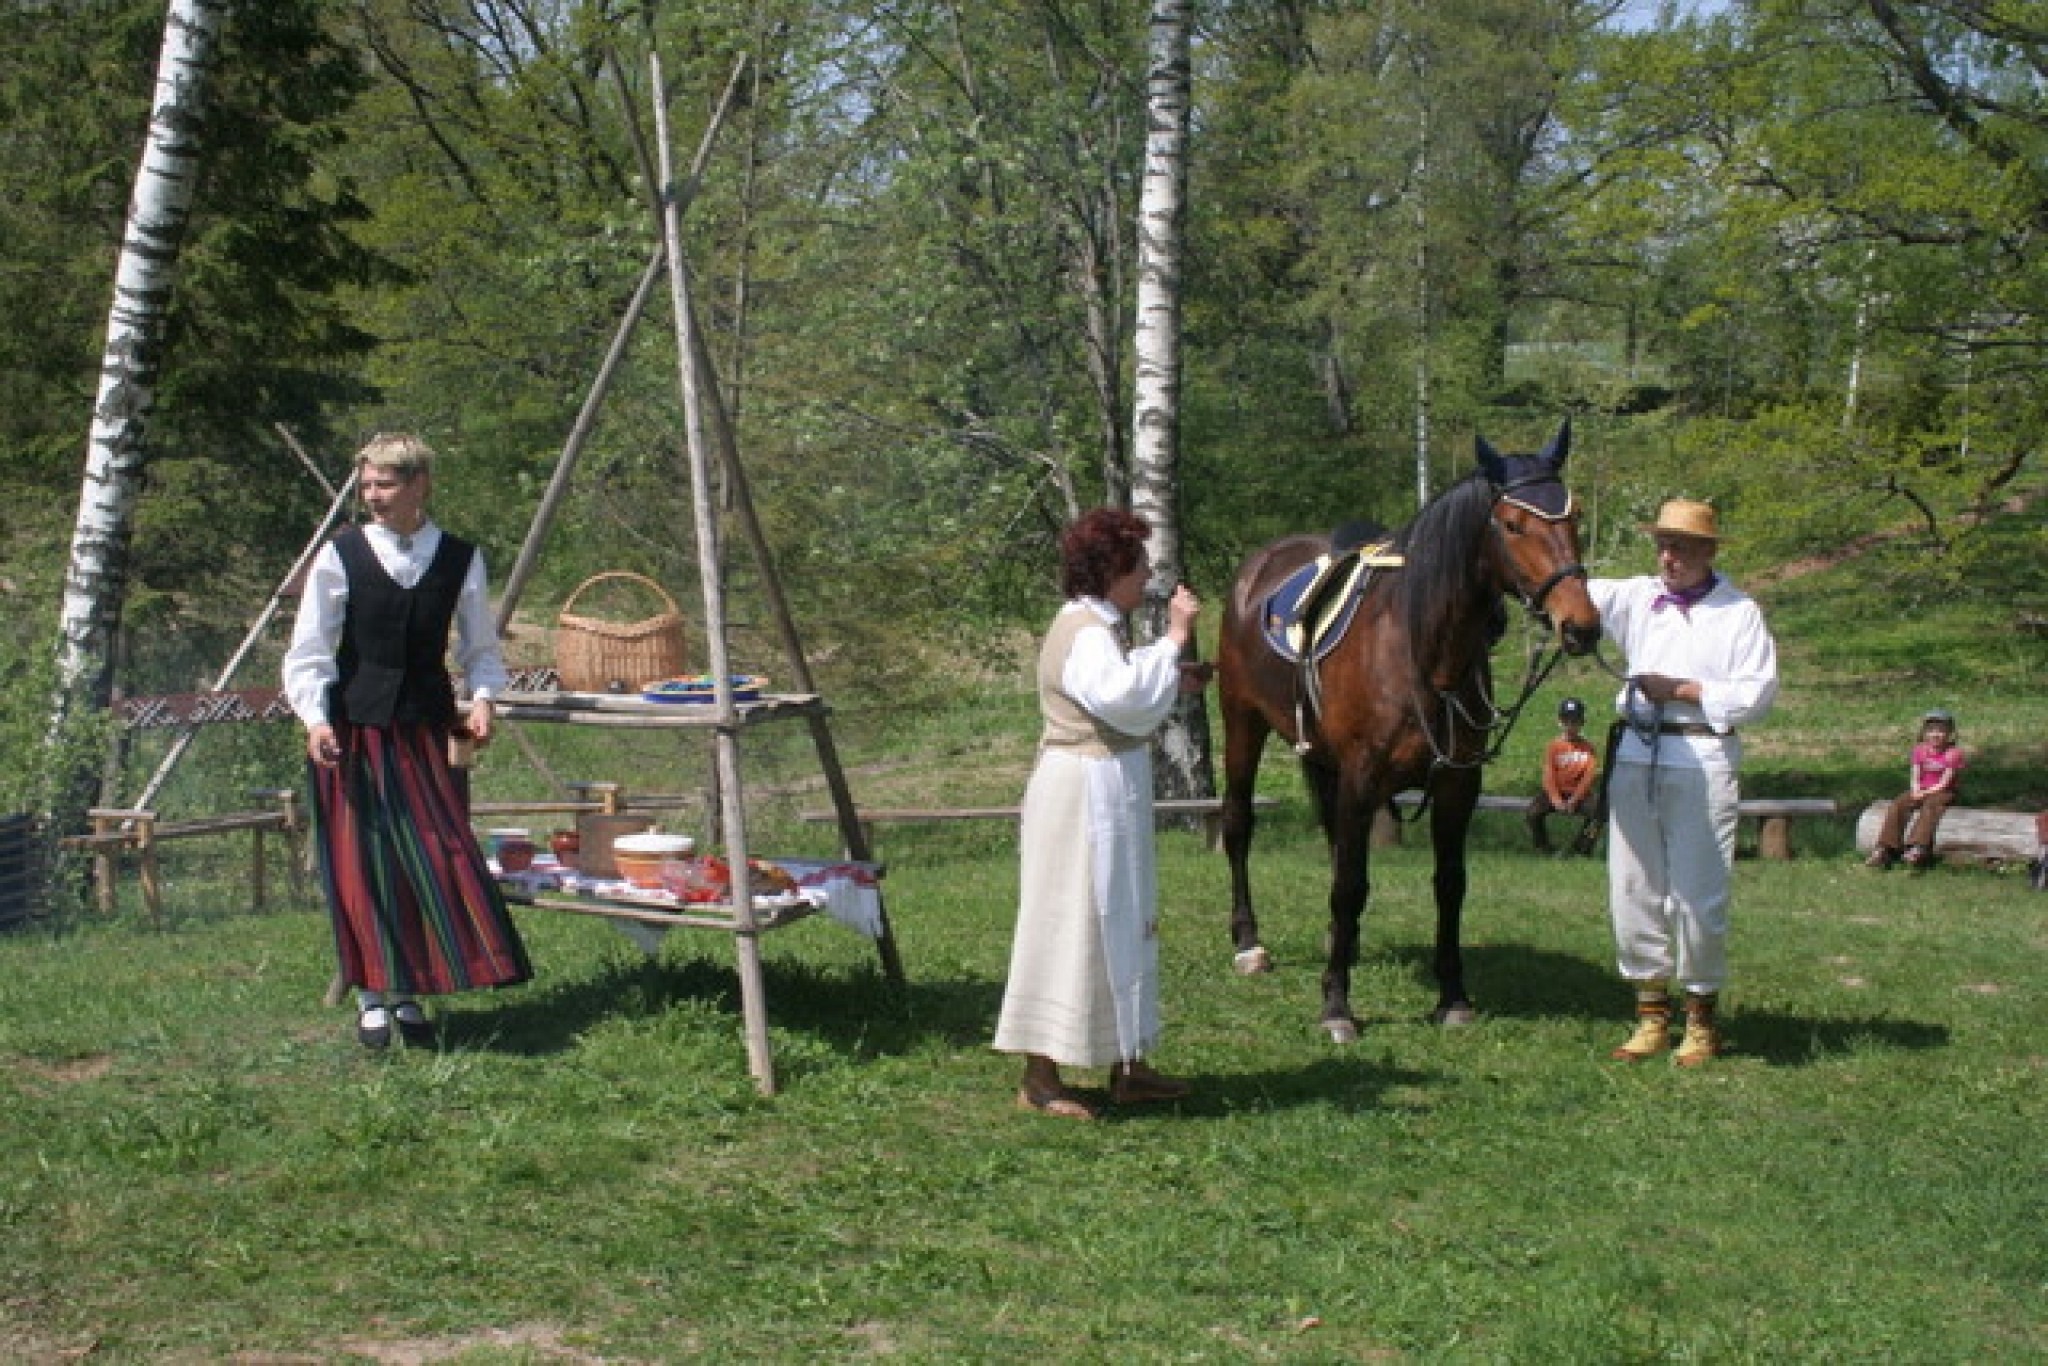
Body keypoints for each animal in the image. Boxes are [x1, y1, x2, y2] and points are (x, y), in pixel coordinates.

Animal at [1212, 421, 1597, 1040]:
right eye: (1513, 524)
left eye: (1575, 515)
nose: (1581, 625)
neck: (1422, 649)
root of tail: (1259, 568)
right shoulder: (1361, 777)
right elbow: (1349, 885)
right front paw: (1336, 1005)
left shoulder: (1456, 786)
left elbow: (1449, 884)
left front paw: (1452, 996)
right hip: (1243, 724)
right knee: (1239, 825)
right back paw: (1249, 943)